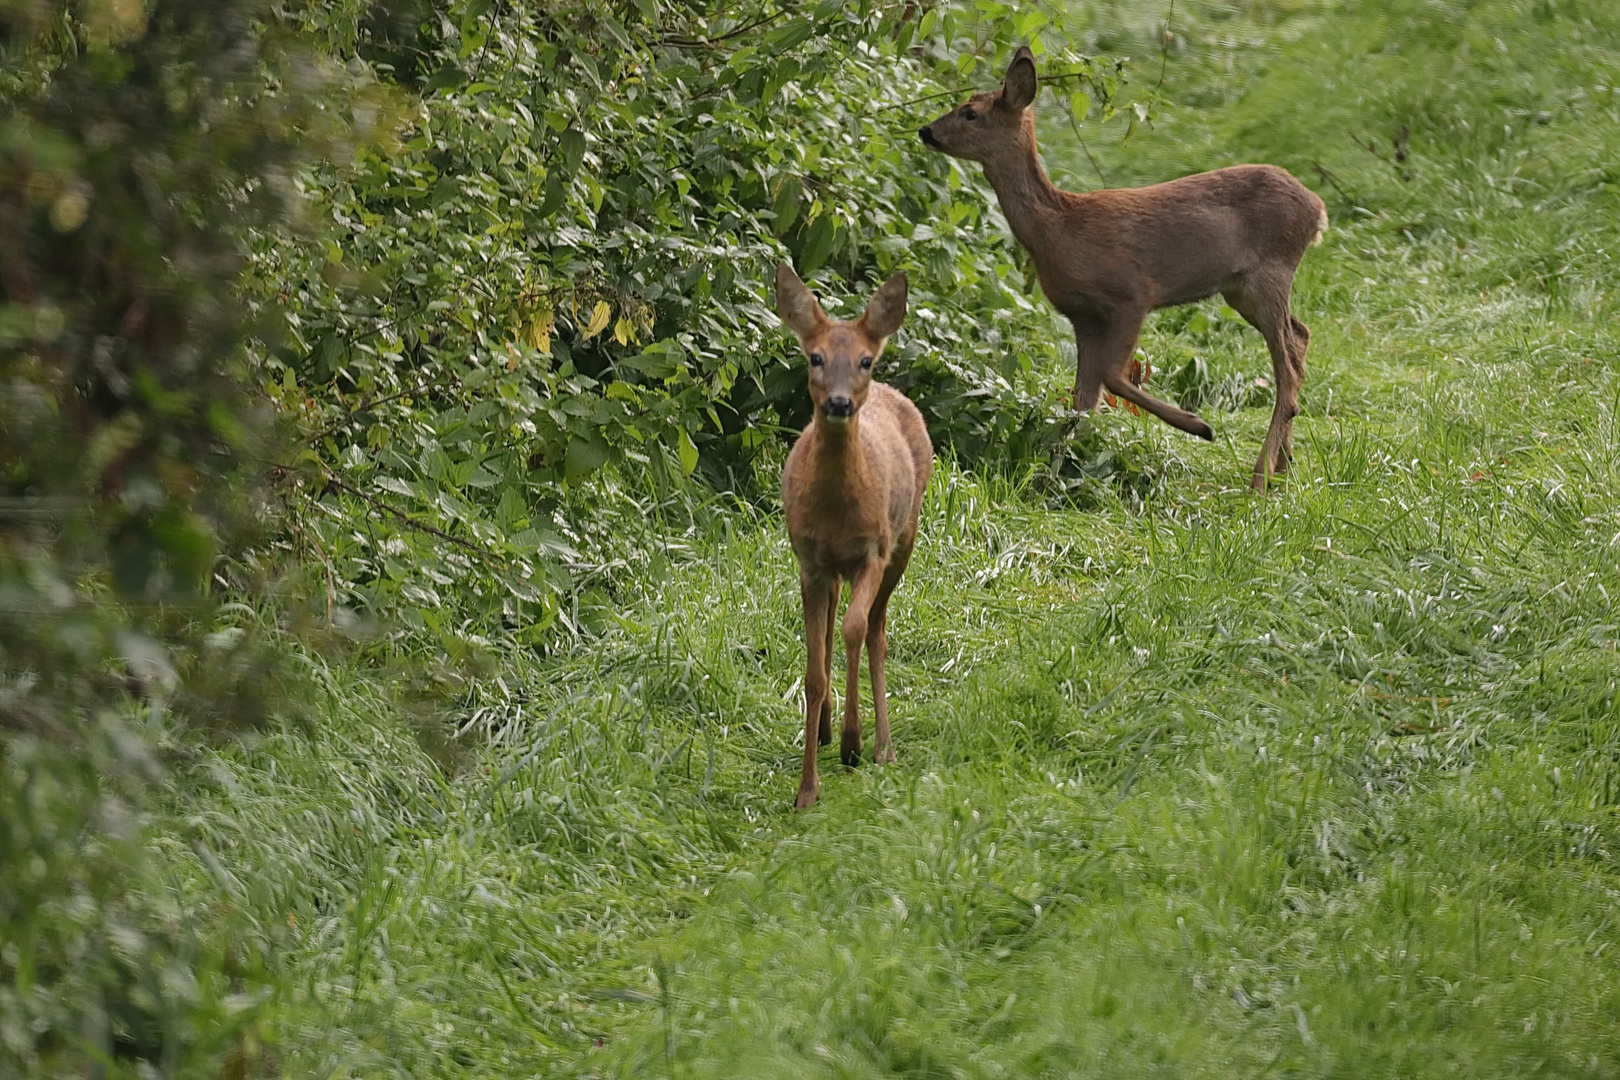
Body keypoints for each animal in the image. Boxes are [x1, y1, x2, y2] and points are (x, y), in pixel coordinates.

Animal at [774, 263, 933, 809]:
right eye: (815, 357)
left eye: (864, 360)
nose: (841, 403)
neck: (837, 513)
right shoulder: (809, 562)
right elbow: (813, 670)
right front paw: (806, 790)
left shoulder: (872, 552)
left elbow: (854, 630)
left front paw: (853, 742)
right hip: (837, 568)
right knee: (836, 633)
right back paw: (825, 729)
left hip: (904, 541)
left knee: (877, 630)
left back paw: (879, 746)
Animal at [926, 45, 1328, 488]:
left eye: (970, 113)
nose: (926, 131)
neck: (1058, 227)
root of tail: (1318, 209)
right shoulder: (1082, 316)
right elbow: (1082, 402)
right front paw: (1055, 475)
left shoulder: (1131, 292)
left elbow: (1111, 377)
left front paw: (1198, 425)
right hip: (1240, 290)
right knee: (1300, 337)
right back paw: (1283, 466)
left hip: (1269, 273)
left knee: (1287, 370)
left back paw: (1259, 477)